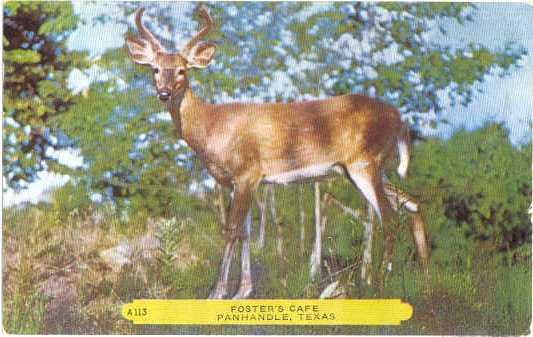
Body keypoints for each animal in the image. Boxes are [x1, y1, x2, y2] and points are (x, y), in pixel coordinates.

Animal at [124, 5, 428, 300]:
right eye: (154, 69)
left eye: (182, 70)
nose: (164, 93)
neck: (212, 127)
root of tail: (399, 119)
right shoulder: (240, 182)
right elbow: (246, 233)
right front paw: (242, 291)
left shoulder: (246, 172)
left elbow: (231, 230)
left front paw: (217, 292)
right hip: (370, 168)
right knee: (412, 202)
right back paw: (422, 278)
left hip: (363, 163)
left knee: (390, 218)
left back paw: (380, 286)